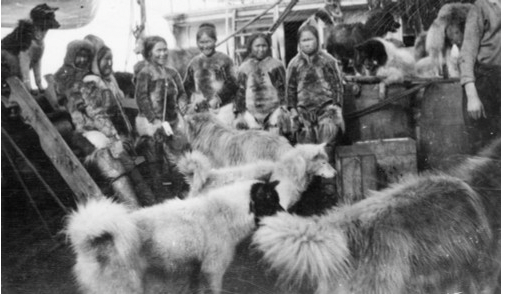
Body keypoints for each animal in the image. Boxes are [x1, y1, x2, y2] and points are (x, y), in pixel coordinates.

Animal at [65, 177, 282, 292]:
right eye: (272, 202)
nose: (286, 213)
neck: (224, 211)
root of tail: (90, 242)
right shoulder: (213, 271)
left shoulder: (196, 272)